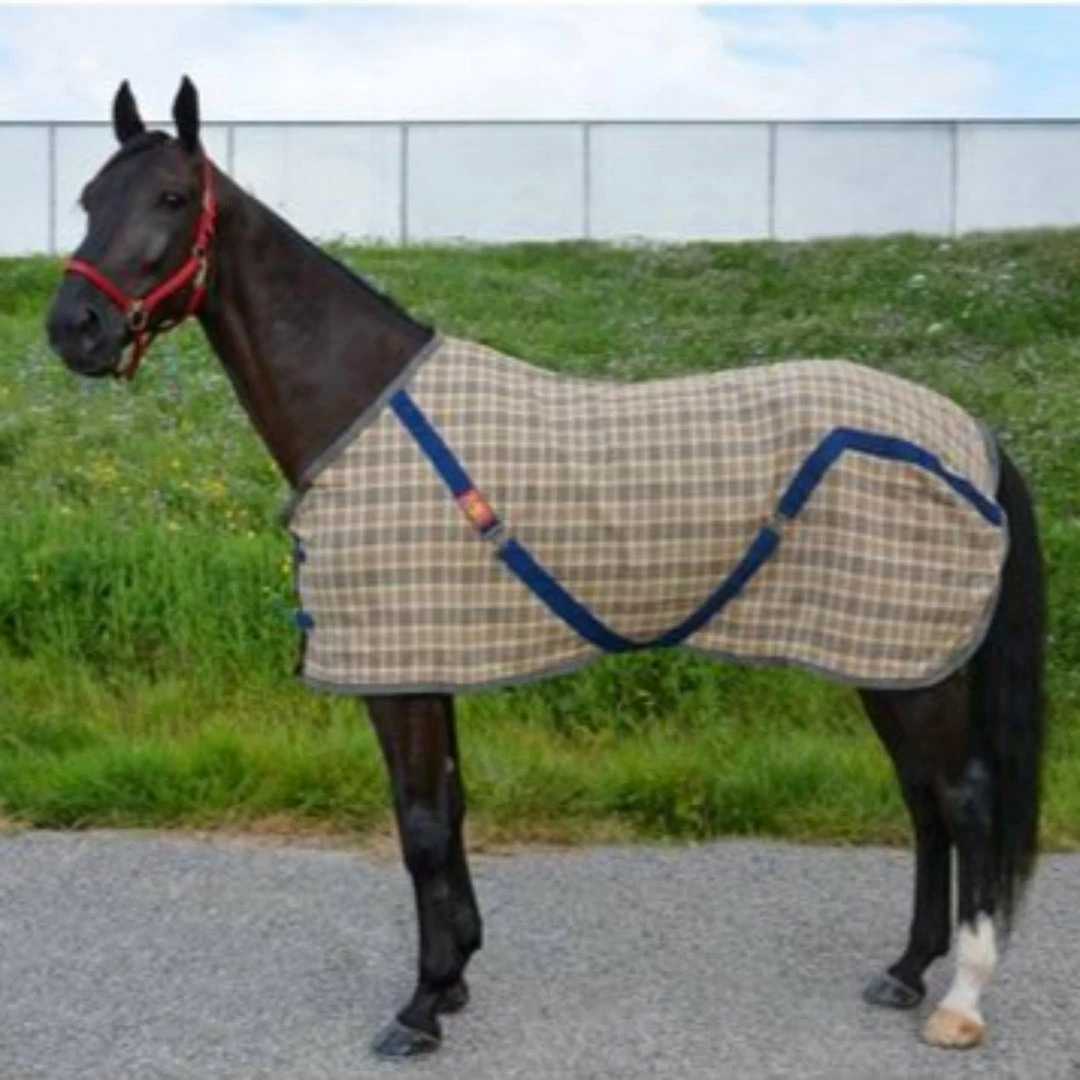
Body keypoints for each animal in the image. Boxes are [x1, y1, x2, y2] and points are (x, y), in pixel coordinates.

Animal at [45, 78, 1046, 1059]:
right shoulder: (430, 662)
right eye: (89, 197)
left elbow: (418, 824)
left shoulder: (396, 674)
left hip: (916, 665)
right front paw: (453, 976)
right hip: (888, 657)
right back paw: (904, 970)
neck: (359, 408)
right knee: (923, 804)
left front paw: (419, 1008)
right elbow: (450, 810)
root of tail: (970, 432)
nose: (74, 329)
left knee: (965, 800)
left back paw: (960, 1000)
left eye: (172, 199)